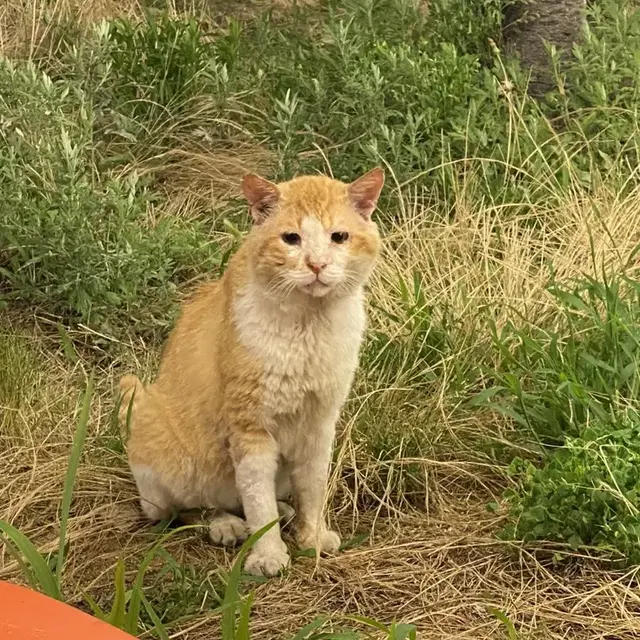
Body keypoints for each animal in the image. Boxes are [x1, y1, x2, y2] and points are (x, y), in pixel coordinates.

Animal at [118, 168, 382, 576]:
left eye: (339, 237)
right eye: (291, 239)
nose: (317, 264)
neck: (309, 325)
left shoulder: (319, 424)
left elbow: (313, 487)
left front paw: (312, 536)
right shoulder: (250, 428)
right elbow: (258, 503)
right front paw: (268, 554)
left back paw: (284, 510)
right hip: (157, 439)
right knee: (188, 508)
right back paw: (226, 524)